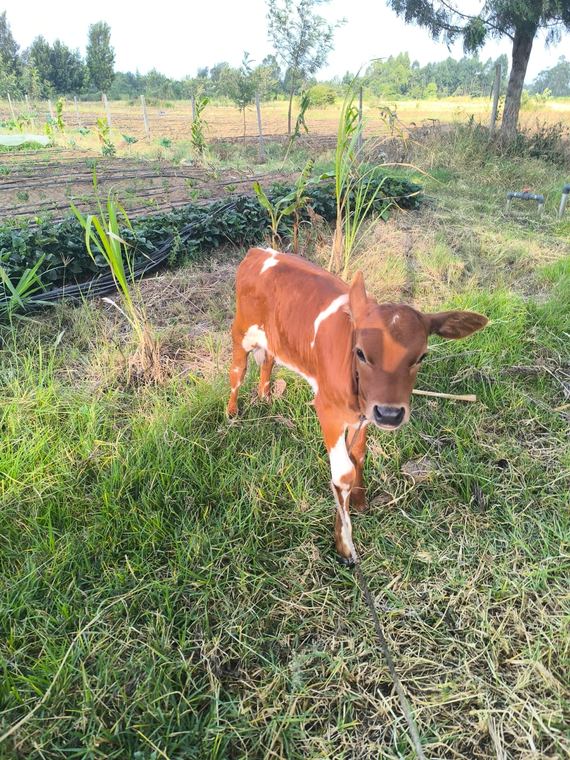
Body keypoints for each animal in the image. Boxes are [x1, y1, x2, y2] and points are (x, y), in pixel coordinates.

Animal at [227, 247, 488, 564]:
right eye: (360, 353)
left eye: (421, 356)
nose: (390, 413)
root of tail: (260, 251)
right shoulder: (328, 411)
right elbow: (343, 473)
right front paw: (345, 542)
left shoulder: (364, 415)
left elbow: (359, 455)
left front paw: (361, 502)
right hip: (241, 332)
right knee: (237, 372)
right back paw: (231, 413)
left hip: (275, 339)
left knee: (268, 361)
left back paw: (265, 395)